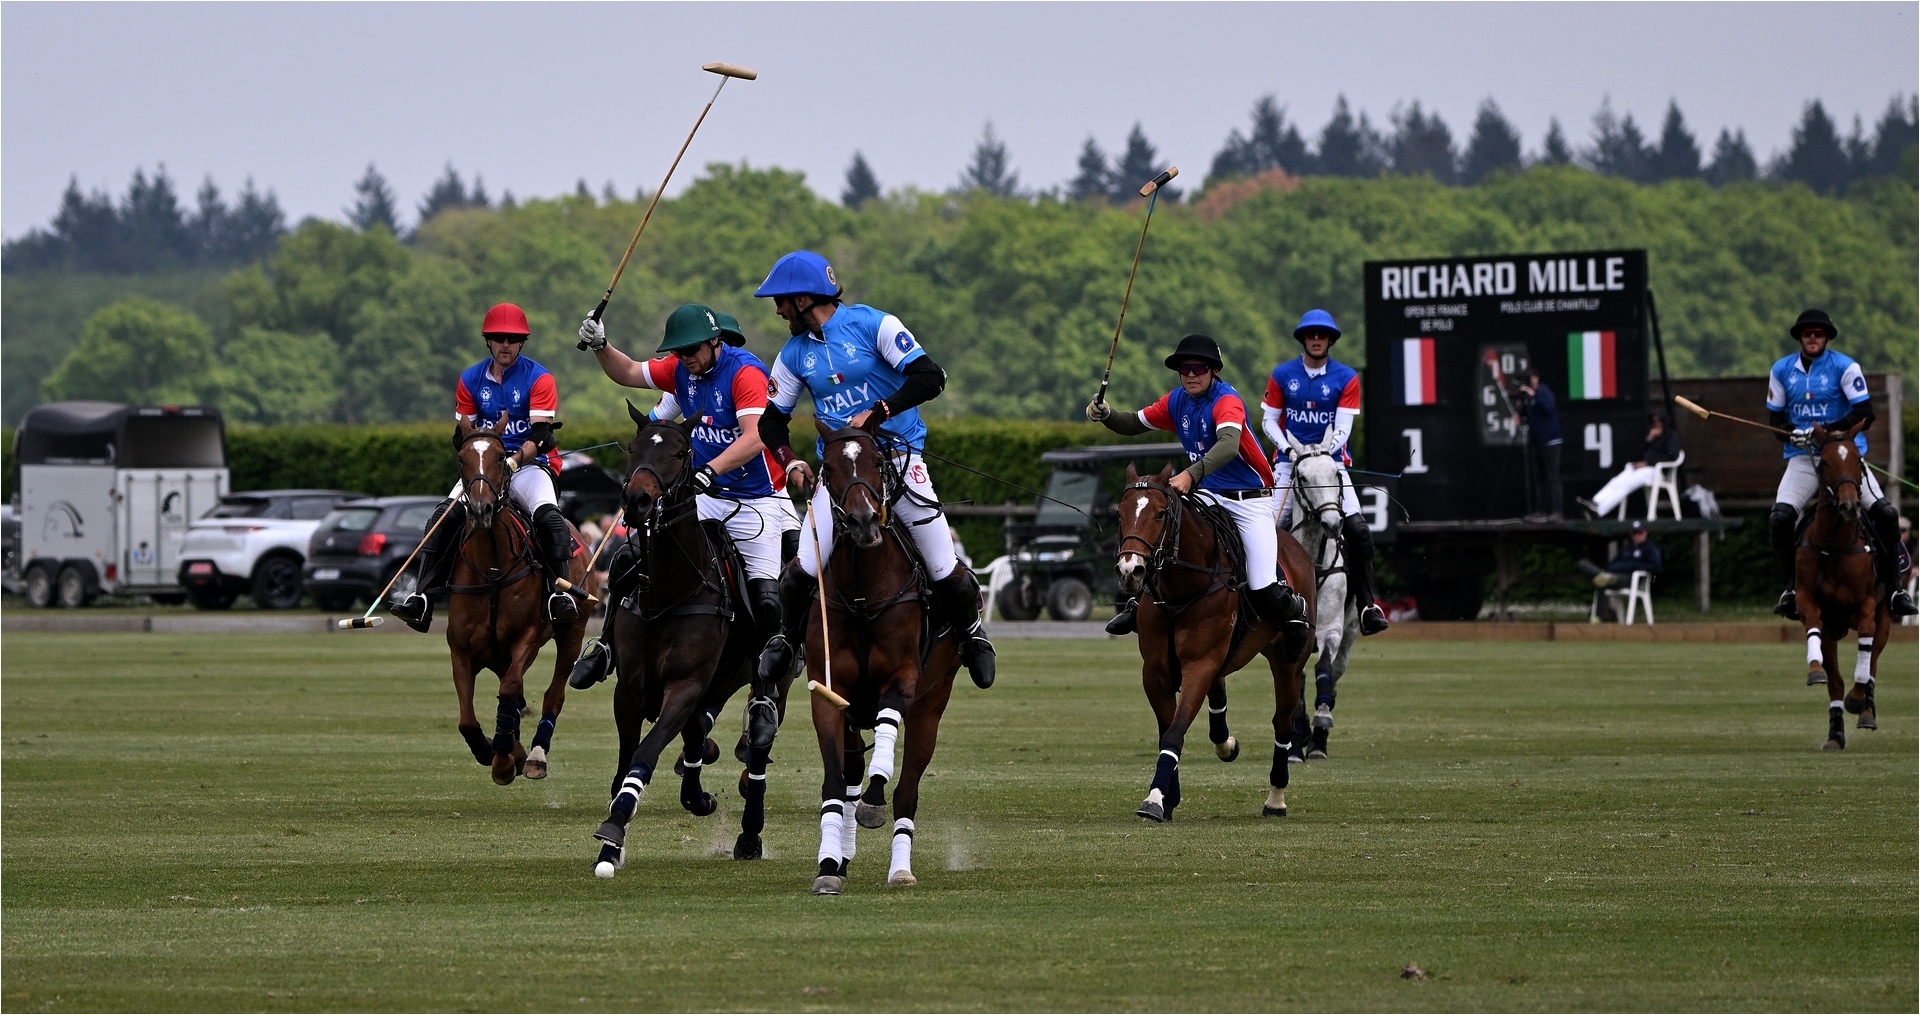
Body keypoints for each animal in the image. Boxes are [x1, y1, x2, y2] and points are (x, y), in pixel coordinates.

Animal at [446, 412, 587, 786]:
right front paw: (492, 749)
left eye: (499, 457)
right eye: (462, 458)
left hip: (573, 631)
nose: (480, 509)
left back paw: (535, 755)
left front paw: (503, 760)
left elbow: (511, 690)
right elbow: (466, 720)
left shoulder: (527, 638)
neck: (492, 568)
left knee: (553, 693)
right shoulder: (461, 648)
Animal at [591, 410, 780, 877]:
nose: (637, 501)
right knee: (697, 736)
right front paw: (611, 849)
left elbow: (645, 752)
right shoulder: (630, 691)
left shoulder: (685, 686)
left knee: (759, 741)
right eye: (634, 448)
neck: (670, 592)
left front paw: (613, 828)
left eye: (680, 453)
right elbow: (626, 760)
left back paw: (749, 836)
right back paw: (699, 797)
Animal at [805, 421, 964, 896]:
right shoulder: (827, 695)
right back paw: (842, 858)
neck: (861, 594)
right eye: (829, 467)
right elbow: (835, 784)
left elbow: (889, 726)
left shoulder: (904, 676)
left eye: (877, 461)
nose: (861, 521)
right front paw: (828, 866)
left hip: (931, 707)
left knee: (907, 791)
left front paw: (874, 801)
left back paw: (900, 869)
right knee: (851, 777)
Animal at [1114, 463, 1318, 822]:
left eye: (1160, 514)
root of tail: (1294, 546)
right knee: (1219, 698)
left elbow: (1175, 729)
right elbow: (1168, 729)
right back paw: (1227, 744)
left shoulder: (1200, 663)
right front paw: (1168, 796)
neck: (1180, 588)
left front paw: (1155, 798)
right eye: (1120, 514)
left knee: (1283, 724)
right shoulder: (1155, 672)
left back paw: (1275, 799)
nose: (1130, 571)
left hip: (1288, 664)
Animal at [1792, 421, 1889, 749]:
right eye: (1824, 463)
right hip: (1834, 629)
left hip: (1886, 614)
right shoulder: (1808, 599)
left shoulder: (1867, 603)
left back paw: (1866, 709)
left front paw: (1858, 699)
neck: (1834, 545)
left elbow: (1867, 644)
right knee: (1835, 680)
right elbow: (1812, 624)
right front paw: (1813, 670)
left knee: (1873, 660)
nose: (1849, 506)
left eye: (1858, 461)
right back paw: (1835, 735)